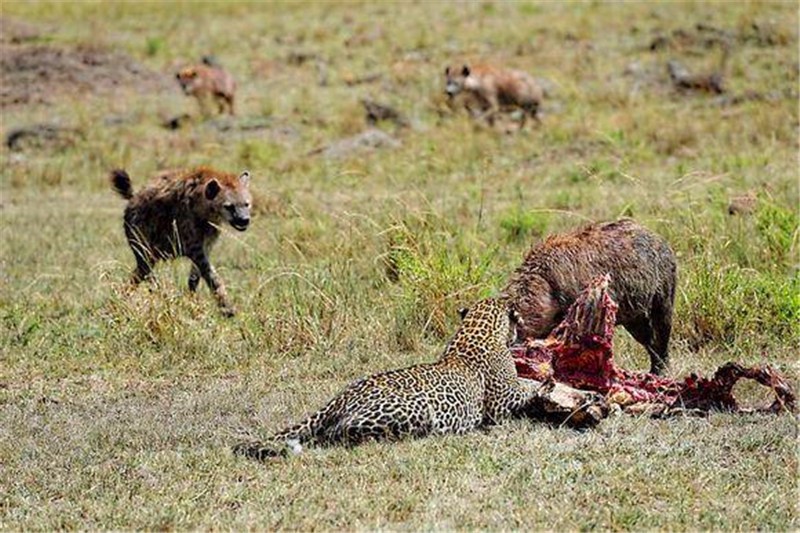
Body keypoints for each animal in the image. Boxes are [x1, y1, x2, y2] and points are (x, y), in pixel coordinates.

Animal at [110, 166, 250, 316]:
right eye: (229, 206)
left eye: (246, 204)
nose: (244, 220)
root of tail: (133, 197)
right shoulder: (192, 242)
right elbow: (210, 273)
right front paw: (227, 308)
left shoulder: (207, 241)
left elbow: (195, 276)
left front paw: (192, 301)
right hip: (141, 239)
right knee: (145, 270)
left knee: (140, 273)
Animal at [233, 298, 544, 460]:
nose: (522, 331)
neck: (476, 328)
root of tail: (339, 399)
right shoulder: (501, 401)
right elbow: (525, 387)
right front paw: (543, 384)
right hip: (415, 410)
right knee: (336, 435)